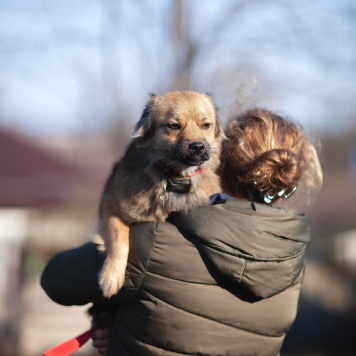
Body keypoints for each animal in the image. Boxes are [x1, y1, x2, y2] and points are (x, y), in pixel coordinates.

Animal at [96, 89, 224, 298]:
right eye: (174, 126)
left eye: (206, 125)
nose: (198, 147)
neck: (175, 177)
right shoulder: (111, 211)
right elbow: (119, 240)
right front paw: (110, 277)